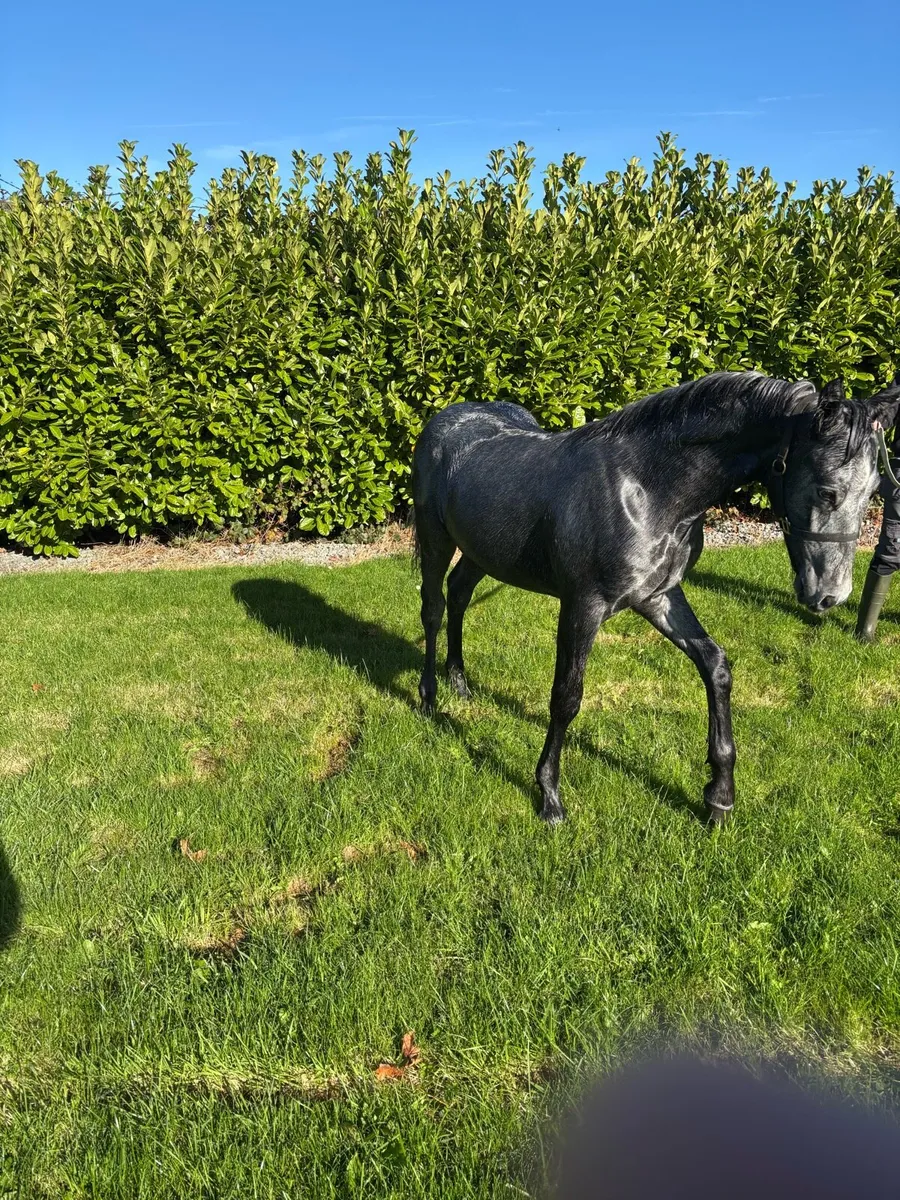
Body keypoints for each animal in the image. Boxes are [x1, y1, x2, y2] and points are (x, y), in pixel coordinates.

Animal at [411, 371, 900, 825]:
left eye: (874, 490)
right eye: (827, 491)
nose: (830, 595)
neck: (646, 489)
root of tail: (447, 418)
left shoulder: (659, 597)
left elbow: (715, 665)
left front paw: (719, 796)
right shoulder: (583, 606)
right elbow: (567, 696)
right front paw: (549, 796)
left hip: (482, 552)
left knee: (459, 595)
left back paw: (460, 683)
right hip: (436, 540)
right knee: (434, 609)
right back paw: (430, 698)